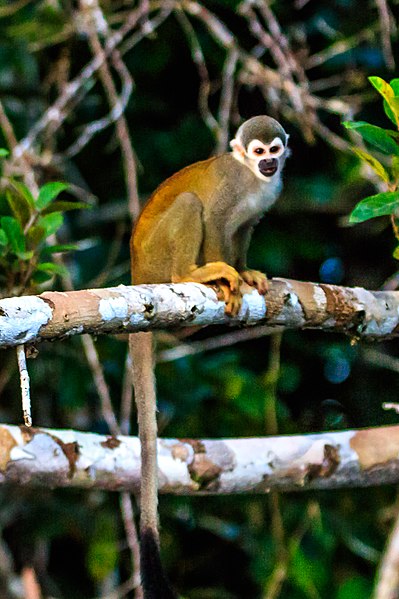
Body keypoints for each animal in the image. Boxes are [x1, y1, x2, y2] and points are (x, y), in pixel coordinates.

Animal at [130, 115, 290, 596]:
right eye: (258, 152)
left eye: (275, 149)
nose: (271, 163)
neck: (253, 180)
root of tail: (135, 274)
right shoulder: (231, 187)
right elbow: (219, 223)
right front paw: (231, 276)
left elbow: (244, 230)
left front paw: (248, 271)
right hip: (157, 260)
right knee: (190, 206)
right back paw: (196, 274)